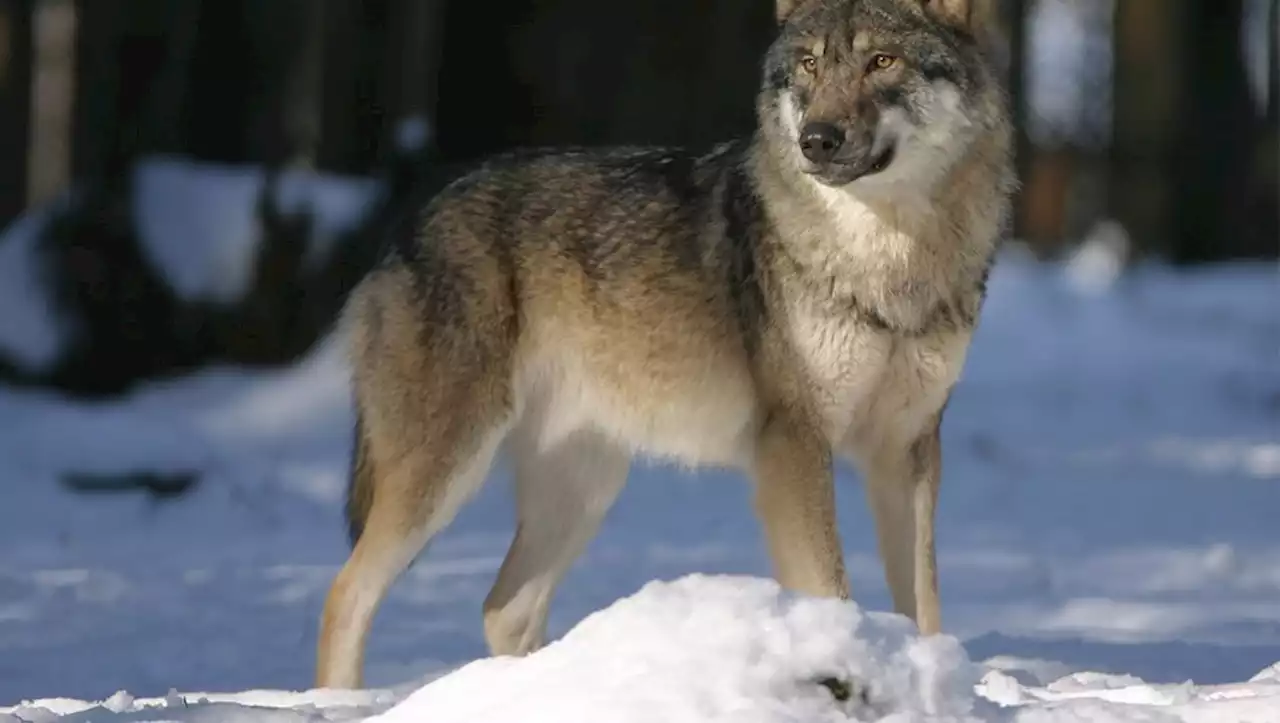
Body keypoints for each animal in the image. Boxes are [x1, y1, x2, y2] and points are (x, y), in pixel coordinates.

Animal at [317, 0, 1008, 685]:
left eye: (881, 61)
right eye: (811, 65)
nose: (816, 139)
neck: (888, 264)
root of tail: (409, 223)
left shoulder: (908, 448)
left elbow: (924, 606)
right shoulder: (794, 444)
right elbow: (830, 588)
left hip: (585, 486)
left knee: (502, 609)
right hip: (447, 471)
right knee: (345, 594)